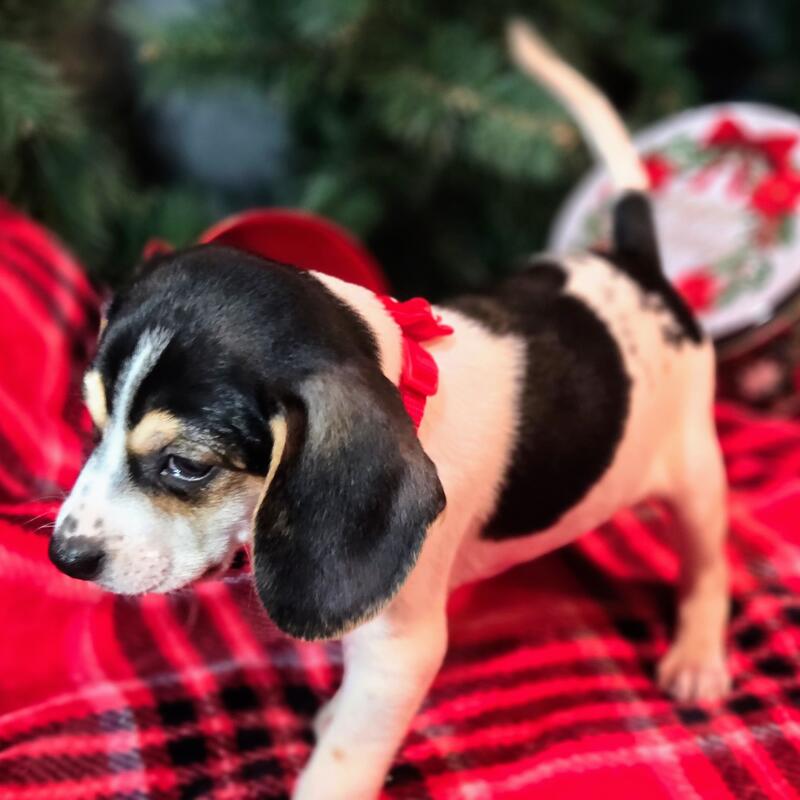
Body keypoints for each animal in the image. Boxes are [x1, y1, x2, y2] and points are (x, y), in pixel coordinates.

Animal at [50, 22, 730, 799]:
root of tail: (634, 265)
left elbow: (345, 757)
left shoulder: (400, 651)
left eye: (188, 466)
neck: (408, 383)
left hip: (697, 472)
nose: (64, 557)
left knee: (709, 564)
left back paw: (698, 655)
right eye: (92, 424)